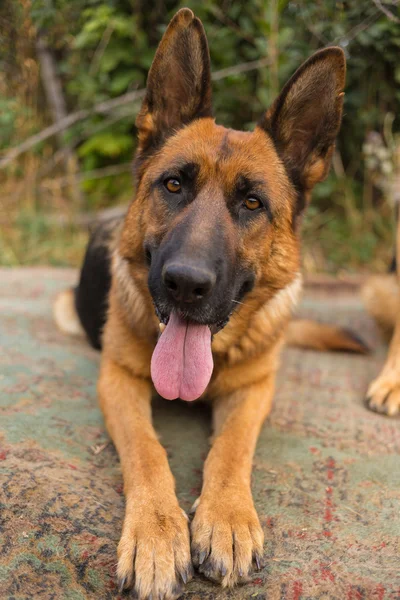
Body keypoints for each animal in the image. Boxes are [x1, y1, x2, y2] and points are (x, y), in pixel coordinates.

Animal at [53, 9, 368, 600]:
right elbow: (147, 450)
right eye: (174, 185)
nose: (185, 284)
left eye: (253, 203)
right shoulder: (117, 380)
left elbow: (231, 449)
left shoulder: (255, 388)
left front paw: (227, 520)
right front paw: (156, 534)